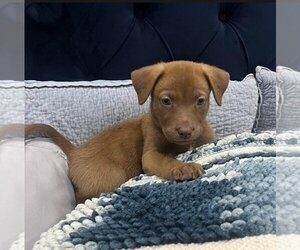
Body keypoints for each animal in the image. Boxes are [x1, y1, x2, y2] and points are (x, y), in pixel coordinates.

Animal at [25, 60, 229, 203]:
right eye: (166, 101)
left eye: (200, 101)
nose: (185, 132)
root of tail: (75, 151)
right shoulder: (150, 155)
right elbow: (165, 160)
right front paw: (182, 167)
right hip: (110, 176)